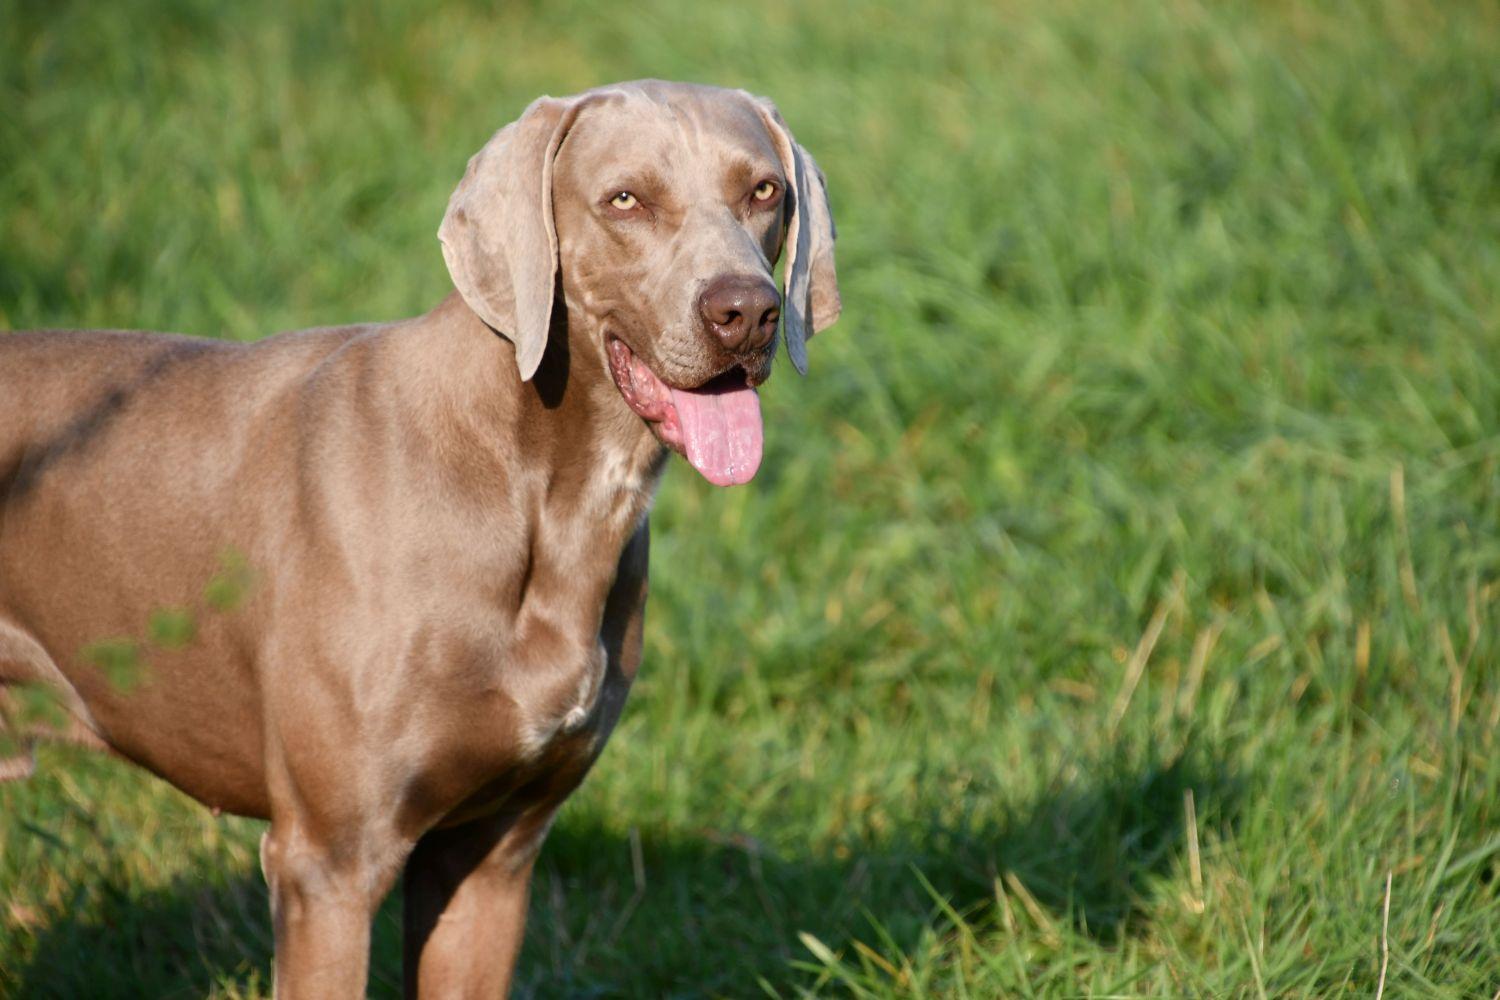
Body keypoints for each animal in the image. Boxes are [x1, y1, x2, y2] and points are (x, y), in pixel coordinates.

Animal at [0, 82, 840, 995]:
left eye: (763, 190)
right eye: (625, 200)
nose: (746, 311)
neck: (537, 485)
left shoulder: (490, 856)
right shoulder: (326, 863)